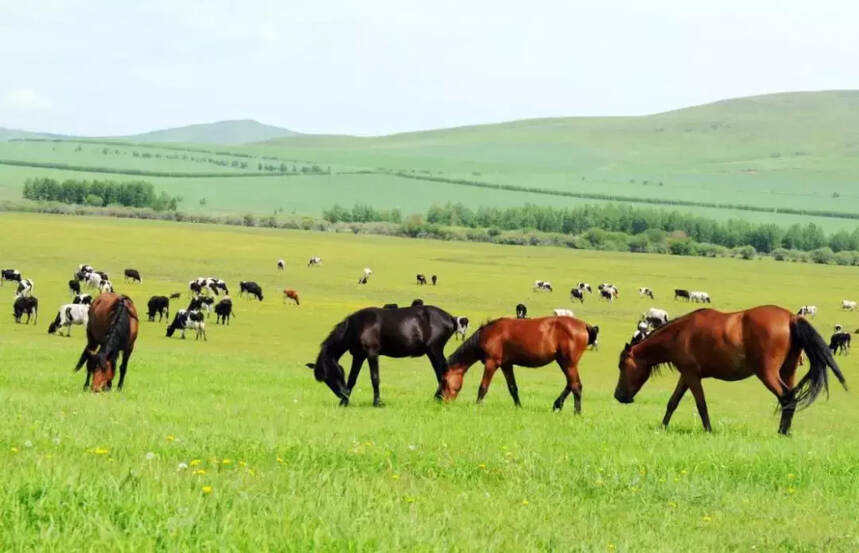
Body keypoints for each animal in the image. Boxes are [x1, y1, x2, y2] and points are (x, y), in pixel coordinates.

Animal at [308, 302, 460, 406]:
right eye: (325, 379)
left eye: (330, 375)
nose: (342, 394)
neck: (359, 325)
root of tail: (450, 317)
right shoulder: (358, 356)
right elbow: (352, 378)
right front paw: (344, 403)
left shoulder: (372, 353)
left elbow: (375, 378)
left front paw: (377, 402)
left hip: (434, 350)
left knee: (442, 372)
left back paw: (439, 398)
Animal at [444, 314, 596, 410]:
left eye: (444, 380)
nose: (441, 400)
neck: (489, 334)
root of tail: (584, 325)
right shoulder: (506, 365)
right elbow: (513, 388)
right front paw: (519, 407)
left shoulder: (492, 363)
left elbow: (483, 387)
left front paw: (477, 406)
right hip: (565, 362)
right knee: (571, 384)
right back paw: (557, 404)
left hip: (568, 363)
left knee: (576, 386)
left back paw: (576, 413)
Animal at [616, 304, 848, 434]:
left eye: (621, 366)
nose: (618, 396)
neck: (679, 334)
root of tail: (791, 318)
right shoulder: (687, 375)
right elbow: (672, 403)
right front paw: (662, 427)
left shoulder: (692, 376)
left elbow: (701, 405)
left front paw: (708, 431)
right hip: (788, 370)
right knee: (791, 398)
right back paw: (786, 431)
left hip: (767, 373)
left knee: (787, 397)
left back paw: (781, 432)